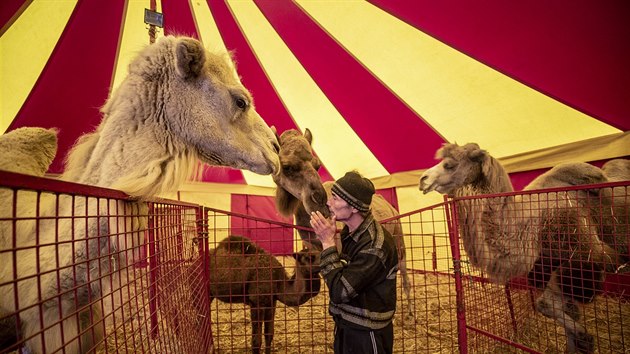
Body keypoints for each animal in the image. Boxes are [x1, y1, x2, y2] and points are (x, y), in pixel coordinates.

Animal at [420, 142, 630, 352]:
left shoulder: (587, 253)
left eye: (449, 165)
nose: (423, 179)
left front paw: (583, 339)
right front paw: (583, 340)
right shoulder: (551, 263)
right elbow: (545, 305)